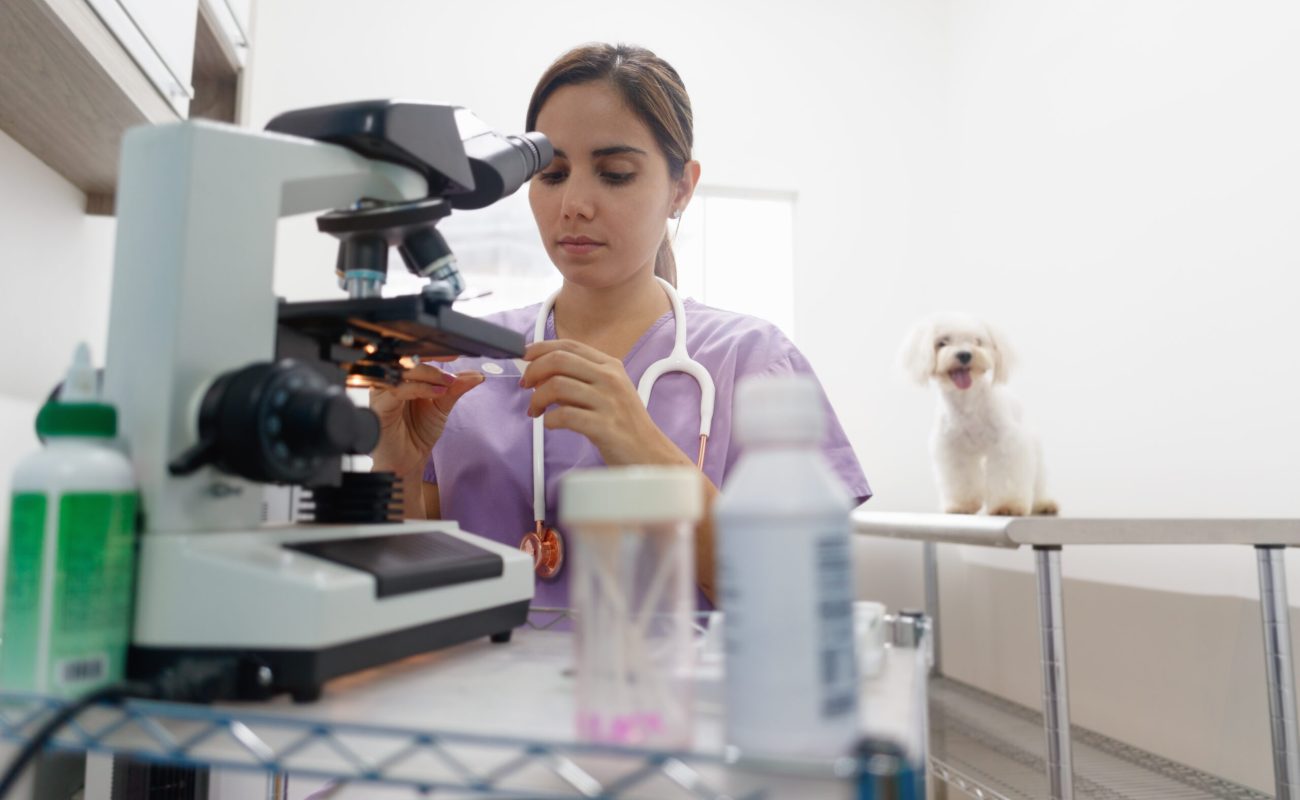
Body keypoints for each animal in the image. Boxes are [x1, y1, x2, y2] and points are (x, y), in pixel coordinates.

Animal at [904, 314, 1055, 520]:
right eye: (942, 343)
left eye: (977, 341)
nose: (964, 354)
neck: (968, 403)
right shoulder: (954, 450)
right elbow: (961, 479)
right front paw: (962, 505)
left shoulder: (1007, 445)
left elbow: (1007, 476)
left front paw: (1007, 506)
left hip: (1033, 448)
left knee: (1038, 481)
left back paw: (1044, 504)